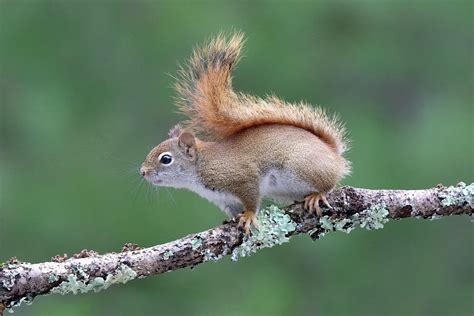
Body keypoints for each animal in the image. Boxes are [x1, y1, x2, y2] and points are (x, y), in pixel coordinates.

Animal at [139, 33, 350, 233]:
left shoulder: (243, 178)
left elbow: (251, 200)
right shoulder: (225, 200)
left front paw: (248, 216)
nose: (142, 172)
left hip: (304, 166)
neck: (202, 166)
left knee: (329, 184)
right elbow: (233, 211)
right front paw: (232, 219)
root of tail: (334, 155)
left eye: (166, 159)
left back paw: (318, 194)